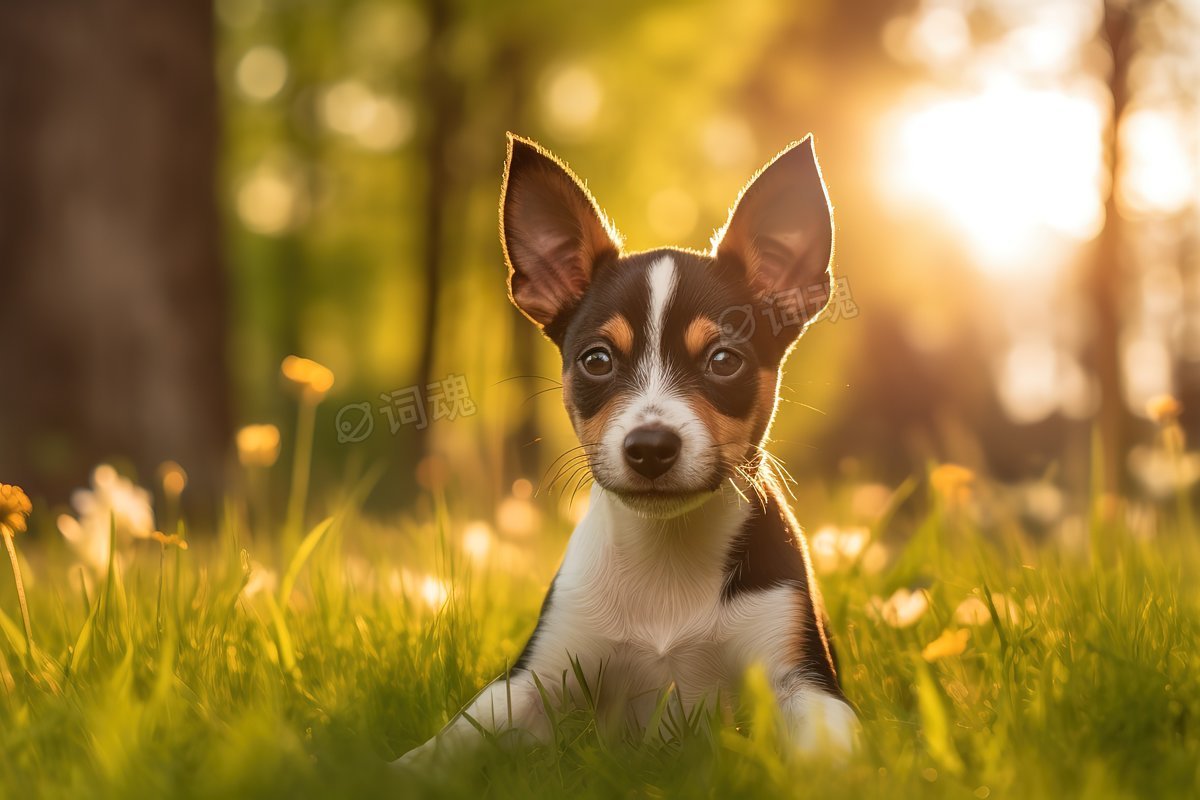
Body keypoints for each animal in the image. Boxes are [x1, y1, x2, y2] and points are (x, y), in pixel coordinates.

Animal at [400, 134, 854, 767]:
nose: (651, 447)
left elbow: (830, 758)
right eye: (596, 359)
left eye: (724, 360)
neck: (666, 556)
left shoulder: (802, 681)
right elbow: (448, 741)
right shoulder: (532, 681)